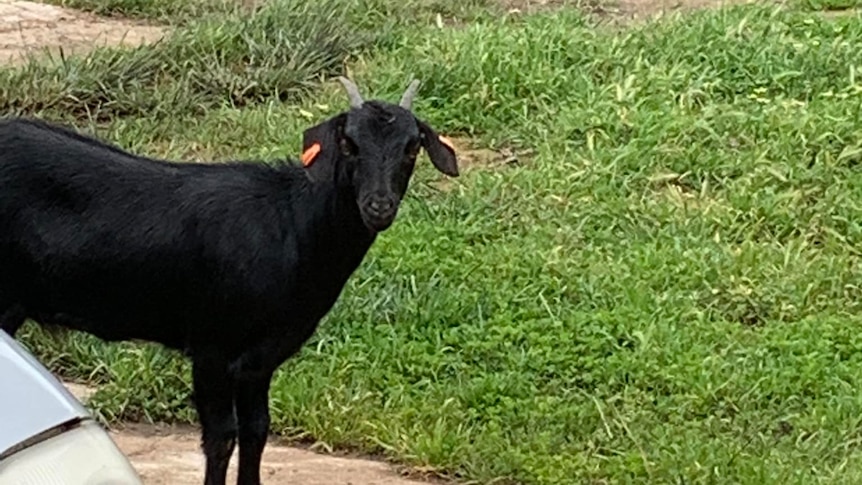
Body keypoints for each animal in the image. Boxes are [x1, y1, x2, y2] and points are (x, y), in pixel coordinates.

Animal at [0, 77, 460, 482]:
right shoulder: (212, 347)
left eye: (412, 148)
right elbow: (221, 438)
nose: (378, 206)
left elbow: (257, 431)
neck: (291, 226)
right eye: (349, 143)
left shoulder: (261, 360)